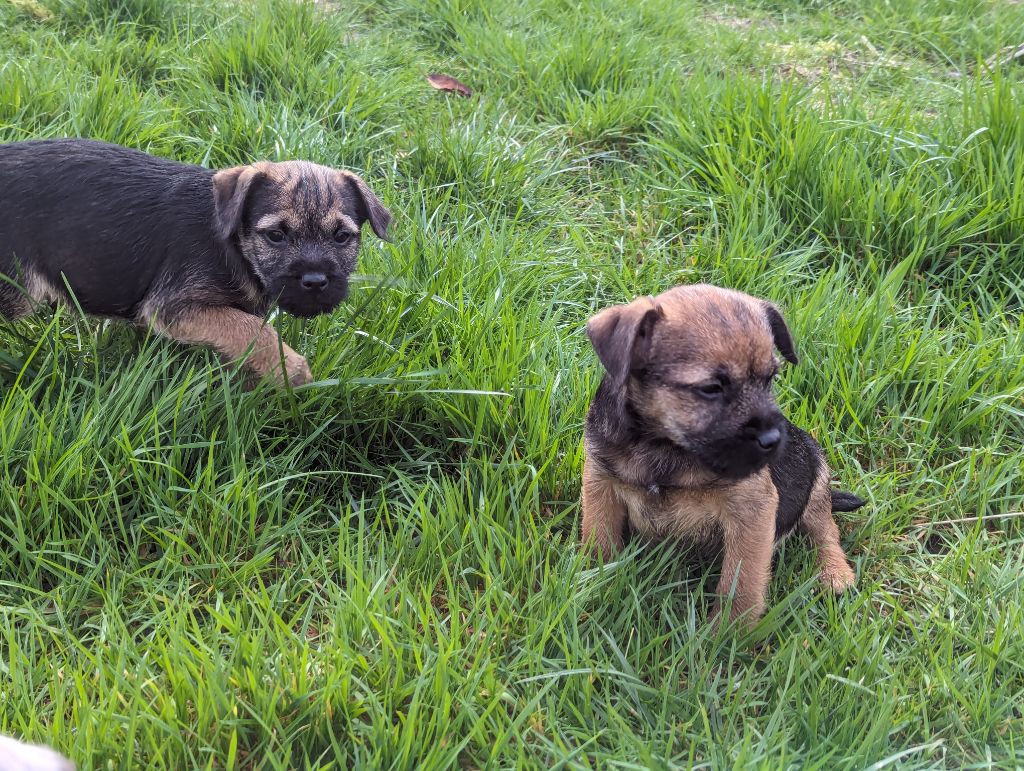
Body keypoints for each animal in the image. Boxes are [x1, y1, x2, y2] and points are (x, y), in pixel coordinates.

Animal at [0, 137, 391, 384]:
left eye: (341, 237)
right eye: (276, 236)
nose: (315, 281)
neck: (233, 244)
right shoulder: (176, 305)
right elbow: (254, 330)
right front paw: (292, 372)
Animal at [585, 282, 864, 626]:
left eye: (770, 379)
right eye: (711, 388)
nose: (773, 438)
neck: (664, 446)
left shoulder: (751, 510)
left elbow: (741, 581)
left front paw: (730, 632)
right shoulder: (600, 483)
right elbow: (598, 539)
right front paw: (596, 584)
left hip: (814, 477)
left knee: (825, 531)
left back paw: (835, 573)